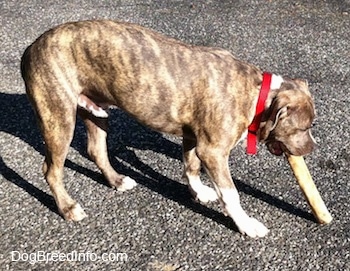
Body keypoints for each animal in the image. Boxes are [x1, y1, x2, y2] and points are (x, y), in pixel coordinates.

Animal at [21, 20, 314, 238]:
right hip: (58, 116)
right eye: (303, 128)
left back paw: (117, 181)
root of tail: (31, 47)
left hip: (95, 110)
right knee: (51, 170)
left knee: (96, 150)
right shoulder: (213, 151)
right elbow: (231, 194)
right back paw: (67, 208)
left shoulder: (193, 135)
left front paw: (199, 192)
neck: (257, 95)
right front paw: (246, 224)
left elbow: (191, 165)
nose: (312, 148)